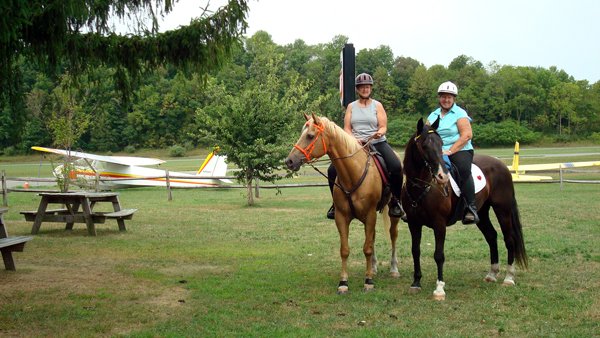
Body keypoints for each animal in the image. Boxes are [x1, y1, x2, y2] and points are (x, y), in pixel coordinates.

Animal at [288, 113, 404, 294]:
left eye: (310, 136)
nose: (289, 161)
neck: (353, 173)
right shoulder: (342, 217)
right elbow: (345, 250)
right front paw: (343, 283)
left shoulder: (370, 215)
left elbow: (367, 248)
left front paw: (368, 282)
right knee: (373, 237)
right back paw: (373, 267)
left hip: (392, 214)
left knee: (393, 235)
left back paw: (393, 269)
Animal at [400, 117, 528, 300]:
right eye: (424, 145)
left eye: (441, 144)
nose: (443, 177)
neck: (422, 187)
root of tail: (502, 166)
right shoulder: (413, 223)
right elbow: (415, 251)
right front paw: (416, 282)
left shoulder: (439, 224)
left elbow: (439, 255)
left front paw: (439, 288)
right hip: (481, 213)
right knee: (491, 236)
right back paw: (492, 274)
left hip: (502, 209)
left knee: (509, 239)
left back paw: (509, 277)